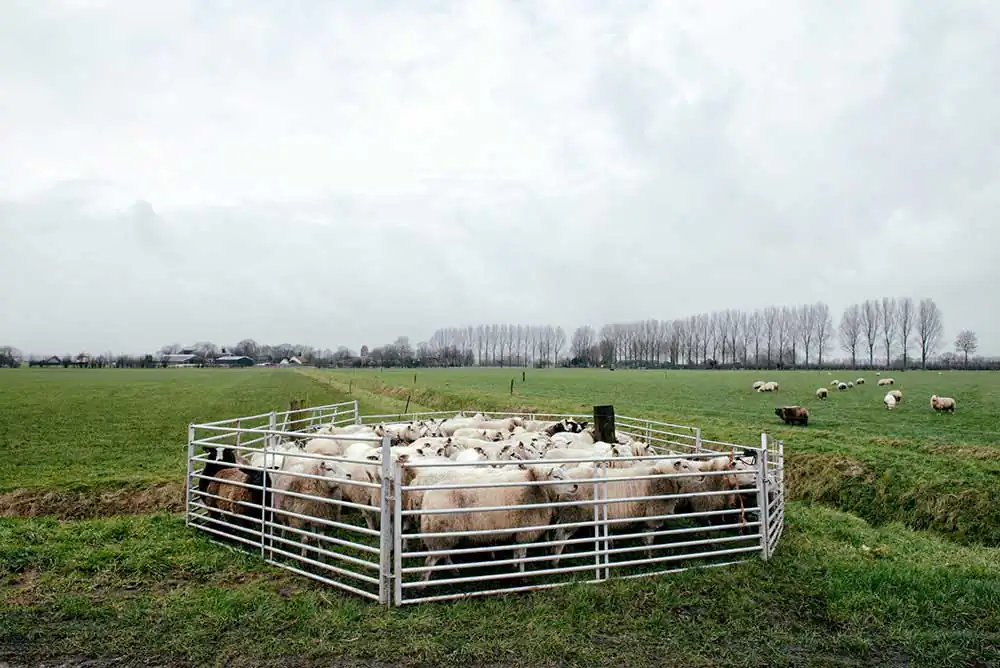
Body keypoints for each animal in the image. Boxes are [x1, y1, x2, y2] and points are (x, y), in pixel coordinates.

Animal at [417, 465, 557, 581]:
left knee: (444, 554)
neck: (537, 486)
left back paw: (453, 571)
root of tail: (426, 497)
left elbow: (516, 552)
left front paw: (514, 566)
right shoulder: (526, 530)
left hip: (445, 534)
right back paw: (422, 584)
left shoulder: (517, 530)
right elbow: (522, 555)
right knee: (430, 561)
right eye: (556, 476)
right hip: (441, 531)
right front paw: (522, 576)